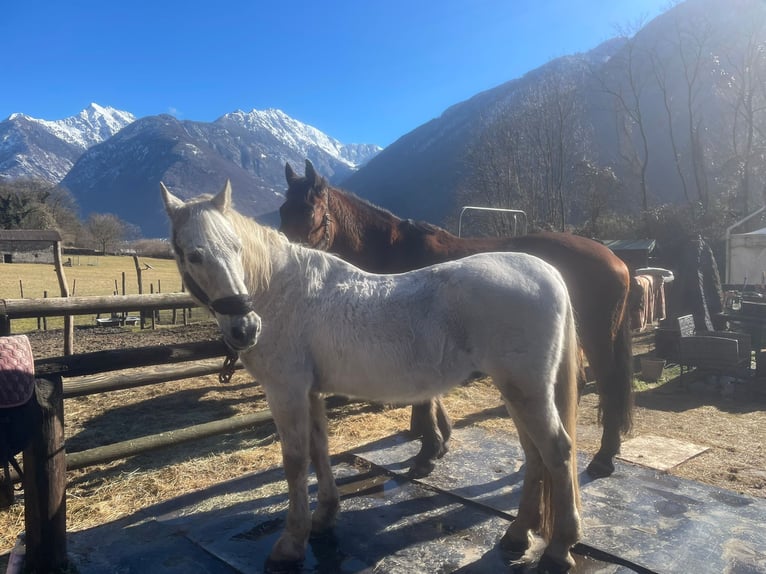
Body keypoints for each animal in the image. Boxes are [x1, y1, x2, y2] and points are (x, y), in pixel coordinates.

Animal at [162, 180, 583, 571]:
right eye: (194, 255)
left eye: (236, 248)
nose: (246, 329)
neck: (283, 293)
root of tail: (548, 272)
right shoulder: (310, 392)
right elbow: (320, 449)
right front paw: (324, 516)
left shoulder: (286, 392)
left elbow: (295, 461)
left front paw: (291, 543)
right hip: (518, 391)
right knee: (535, 454)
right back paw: (518, 535)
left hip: (527, 390)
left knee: (556, 452)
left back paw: (559, 549)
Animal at [280, 159, 634, 478]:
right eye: (283, 212)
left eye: (309, 210)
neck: (393, 251)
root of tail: (615, 258)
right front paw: (440, 440)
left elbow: (425, 401)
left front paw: (428, 452)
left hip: (596, 337)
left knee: (608, 384)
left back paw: (603, 457)